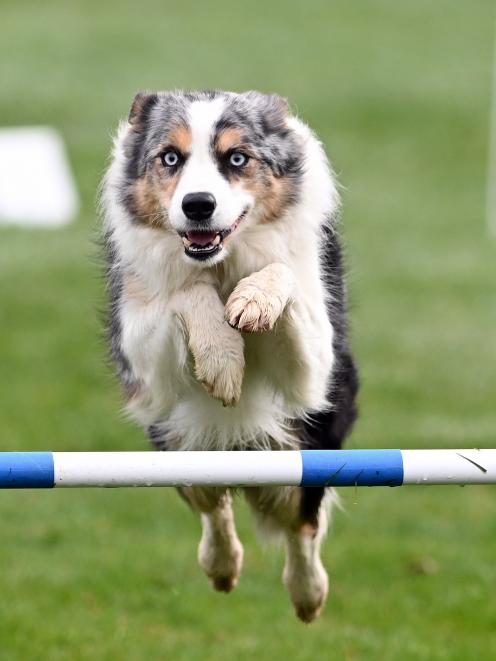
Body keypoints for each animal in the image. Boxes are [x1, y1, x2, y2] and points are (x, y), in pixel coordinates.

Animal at [101, 90, 356, 620]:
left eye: (236, 158)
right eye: (170, 158)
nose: (198, 205)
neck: (221, 263)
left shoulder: (312, 373)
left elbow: (279, 270)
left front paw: (253, 301)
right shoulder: (144, 361)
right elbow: (186, 292)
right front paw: (223, 360)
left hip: (310, 445)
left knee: (302, 523)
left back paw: (308, 595)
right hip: (178, 446)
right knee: (213, 503)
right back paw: (221, 566)